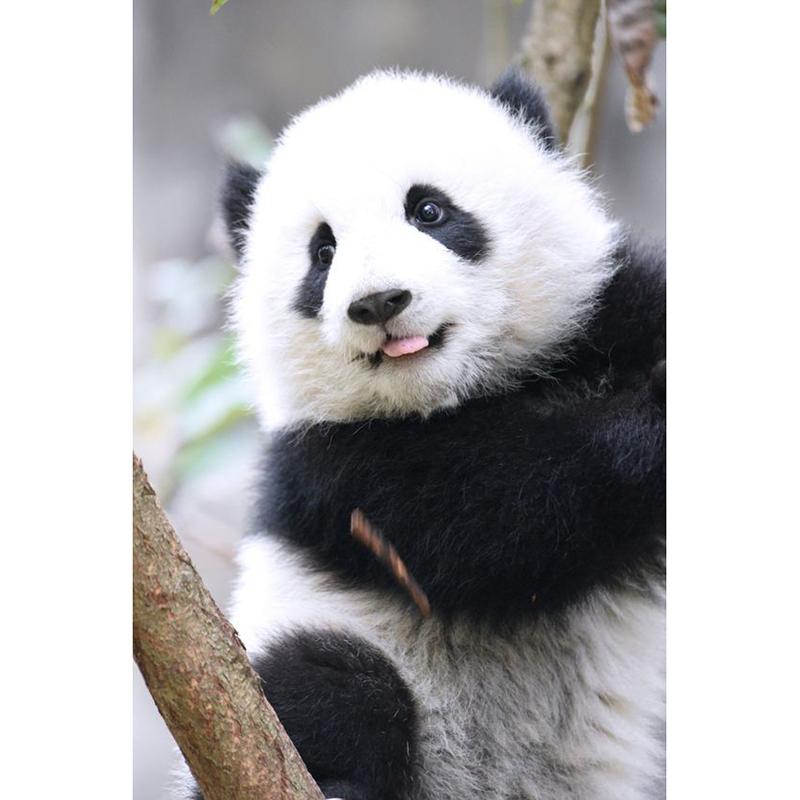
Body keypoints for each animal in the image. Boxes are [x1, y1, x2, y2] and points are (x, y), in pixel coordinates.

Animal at [182, 68, 666, 800]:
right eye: (323, 251)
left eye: (430, 211)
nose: (379, 302)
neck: (459, 395)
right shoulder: (328, 467)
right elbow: (489, 515)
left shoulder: (610, 308)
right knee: (332, 684)